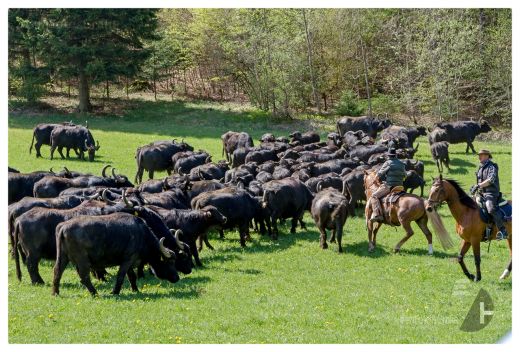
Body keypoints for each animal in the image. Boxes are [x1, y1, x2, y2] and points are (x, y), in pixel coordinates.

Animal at [51, 213, 181, 296]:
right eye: (170, 262)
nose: (177, 277)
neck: (142, 235)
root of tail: (63, 226)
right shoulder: (128, 259)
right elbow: (121, 276)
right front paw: (115, 292)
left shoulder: (129, 261)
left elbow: (131, 276)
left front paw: (135, 290)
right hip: (83, 260)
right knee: (84, 276)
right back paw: (95, 293)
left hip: (63, 257)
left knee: (57, 271)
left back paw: (55, 292)